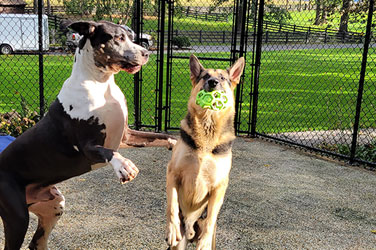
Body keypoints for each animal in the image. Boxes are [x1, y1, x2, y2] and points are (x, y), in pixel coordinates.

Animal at [0, 20, 176, 250]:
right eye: (118, 38)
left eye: (131, 36)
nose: (146, 52)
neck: (100, 83)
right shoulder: (88, 148)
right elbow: (109, 152)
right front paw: (124, 166)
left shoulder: (127, 137)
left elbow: (160, 136)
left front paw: (178, 143)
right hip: (17, 217)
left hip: (54, 205)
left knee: (36, 243)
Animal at [166, 53, 245, 249]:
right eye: (205, 76)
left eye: (223, 78)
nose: (213, 82)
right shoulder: (172, 173)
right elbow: (172, 204)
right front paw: (172, 229)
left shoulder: (219, 185)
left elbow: (211, 217)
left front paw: (205, 239)